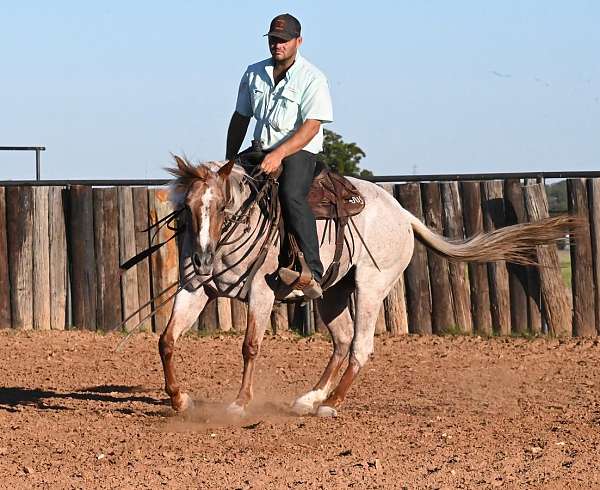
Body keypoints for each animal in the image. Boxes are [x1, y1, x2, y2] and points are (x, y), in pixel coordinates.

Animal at [158, 157, 576, 418]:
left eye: (222, 205)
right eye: (188, 205)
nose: (203, 257)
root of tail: (404, 215)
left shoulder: (260, 293)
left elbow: (249, 347)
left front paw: (240, 403)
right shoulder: (195, 289)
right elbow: (167, 340)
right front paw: (180, 399)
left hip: (371, 286)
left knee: (360, 346)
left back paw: (332, 403)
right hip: (332, 292)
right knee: (343, 340)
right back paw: (311, 398)